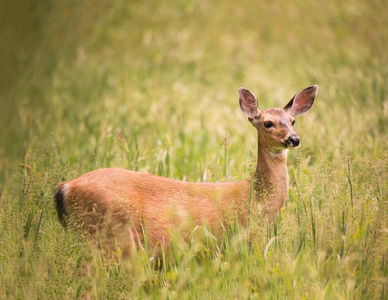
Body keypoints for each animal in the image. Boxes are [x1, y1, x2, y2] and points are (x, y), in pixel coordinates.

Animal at [54, 85, 318, 258]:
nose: (294, 139)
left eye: (292, 121)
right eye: (267, 123)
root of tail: (65, 187)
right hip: (106, 233)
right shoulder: (243, 237)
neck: (257, 196)